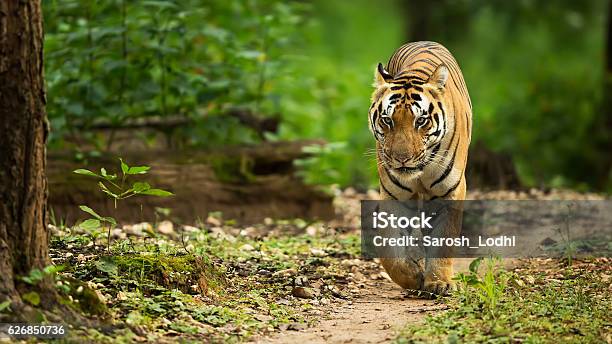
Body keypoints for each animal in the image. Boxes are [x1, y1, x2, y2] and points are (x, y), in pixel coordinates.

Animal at [368, 41, 474, 296]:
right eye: (387, 120)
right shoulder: (394, 195)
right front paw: (412, 277)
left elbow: (443, 239)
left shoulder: (451, 191)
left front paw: (438, 282)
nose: (402, 159)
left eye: (421, 121)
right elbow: (390, 247)